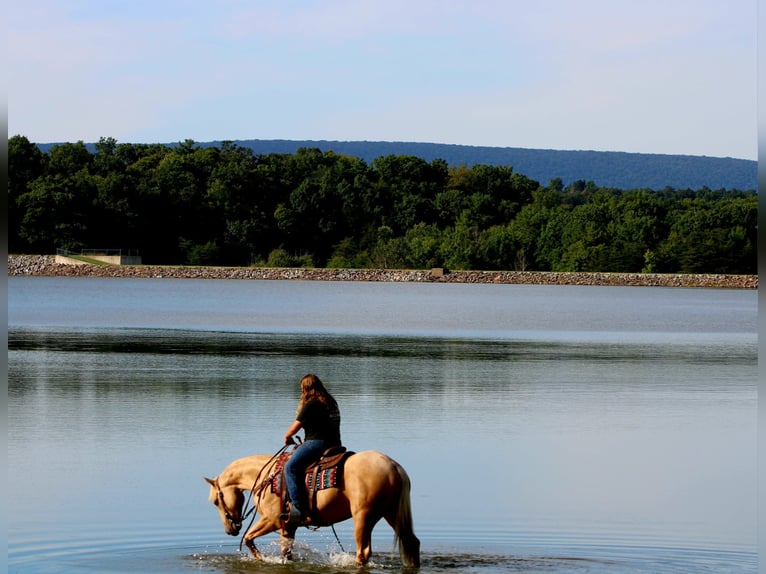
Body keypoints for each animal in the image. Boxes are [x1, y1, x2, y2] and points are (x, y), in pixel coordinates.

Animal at [204, 450, 421, 567]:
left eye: (215, 501)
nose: (230, 529)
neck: (267, 475)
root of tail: (393, 466)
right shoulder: (287, 526)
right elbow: (286, 552)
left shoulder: (271, 520)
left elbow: (249, 538)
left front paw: (262, 559)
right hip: (391, 513)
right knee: (412, 542)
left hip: (364, 517)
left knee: (363, 553)